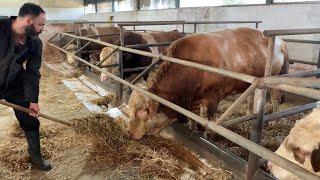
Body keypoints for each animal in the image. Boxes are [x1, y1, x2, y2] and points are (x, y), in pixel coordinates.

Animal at [127, 27, 290, 139]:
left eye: (143, 112)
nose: (130, 133)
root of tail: (280, 41)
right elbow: (193, 118)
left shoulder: (211, 99)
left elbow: (202, 123)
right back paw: (250, 114)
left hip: (275, 78)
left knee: (275, 98)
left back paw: (274, 120)